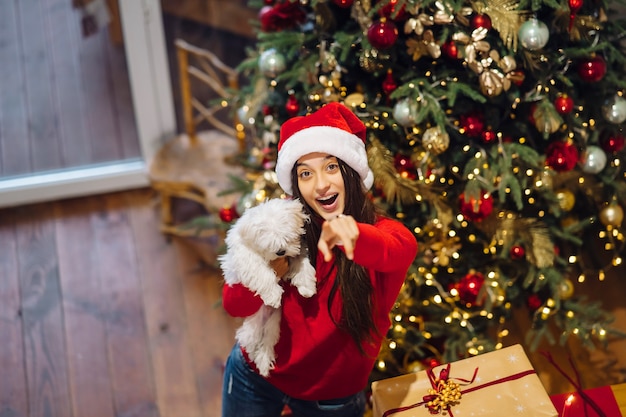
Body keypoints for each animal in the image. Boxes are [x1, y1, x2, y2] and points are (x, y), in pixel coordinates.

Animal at [219, 197, 316, 376]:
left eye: (288, 238)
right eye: (269, 244)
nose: (281, 252)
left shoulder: (296, 251)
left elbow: (301, 262)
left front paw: (306, 285)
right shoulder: (244, 255)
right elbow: (259, 270)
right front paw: (273, 295)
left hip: (274, 321)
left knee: (268, 339)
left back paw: (263, 360)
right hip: (255, 324)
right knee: (250, 338)